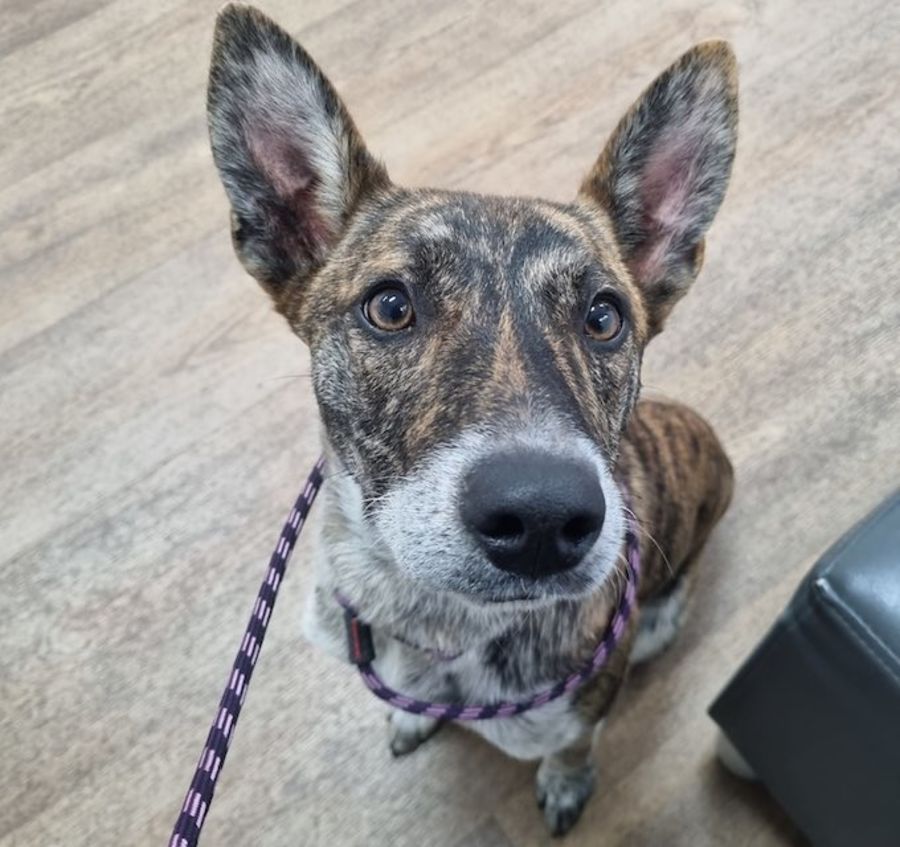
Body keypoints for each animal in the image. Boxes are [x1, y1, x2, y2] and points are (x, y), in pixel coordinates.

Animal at [206, 4, 737, 836]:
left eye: (604, 316)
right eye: (390, 305)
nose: (544, 517)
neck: (439, 624)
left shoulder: (582, 709)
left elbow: (572, 746)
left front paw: (564, 782)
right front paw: (412, 716)